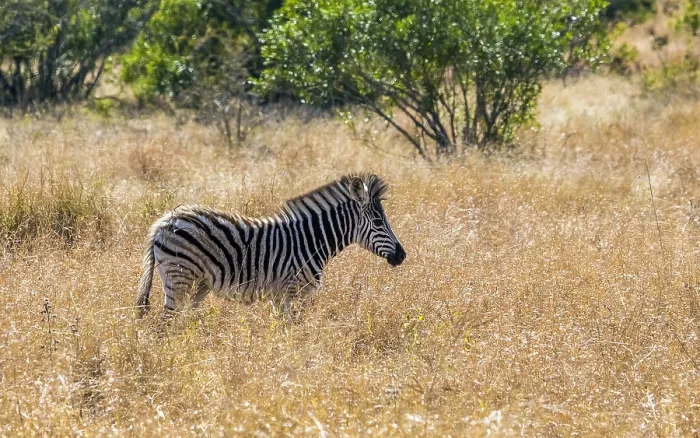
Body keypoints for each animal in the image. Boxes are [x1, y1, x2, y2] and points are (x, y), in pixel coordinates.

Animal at [136, 173, 406, 318]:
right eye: (379, 222)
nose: (402, 255)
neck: (311, 241)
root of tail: (164, 221)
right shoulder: (291, 291)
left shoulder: (280, 296)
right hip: (179, 276)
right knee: (166, 323)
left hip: (196, 284)